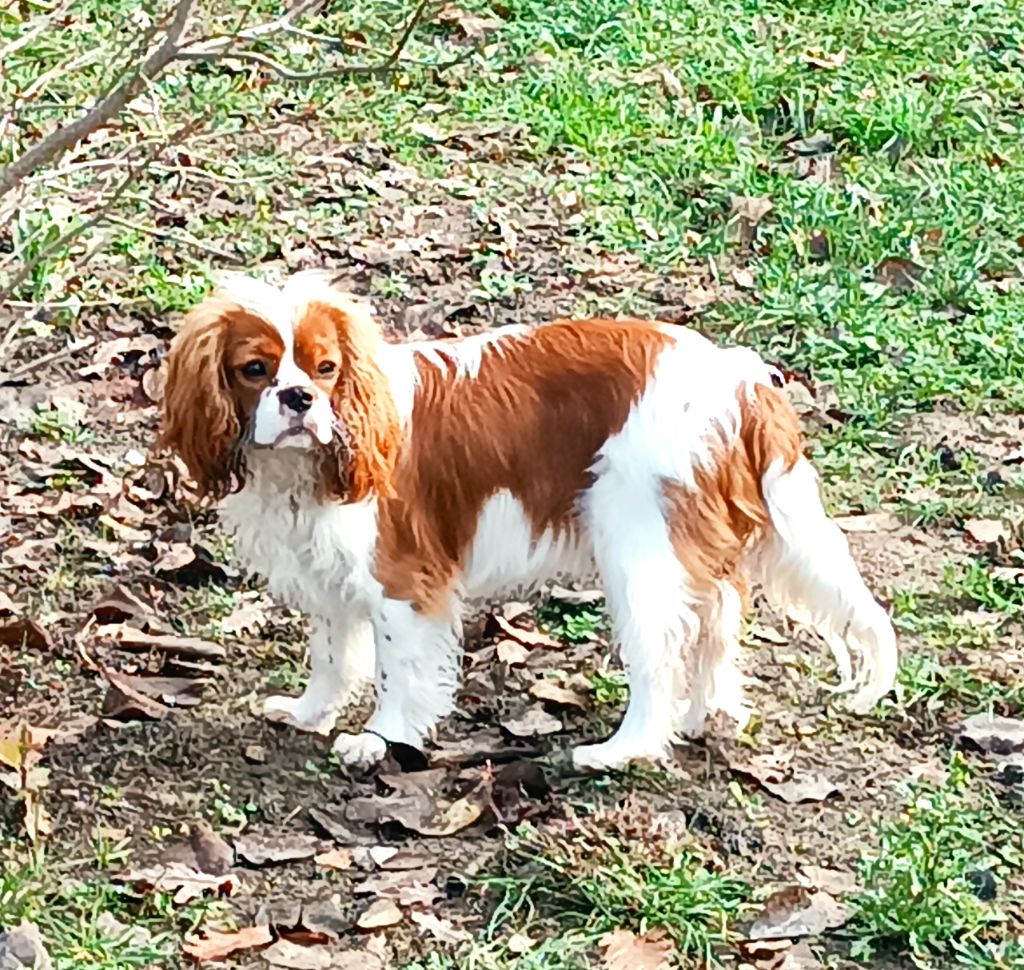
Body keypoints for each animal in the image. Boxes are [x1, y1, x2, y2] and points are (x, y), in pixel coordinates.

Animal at [159, 268, 897, 770]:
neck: (303, 468)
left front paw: (381, 739)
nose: (300, 398)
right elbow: (335, 658)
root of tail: (739, 378)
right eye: (255, 369)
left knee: (660, 653)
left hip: (638, 550)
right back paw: (702, 718)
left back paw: (623, 749)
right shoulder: (331, 576)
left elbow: (399, 670)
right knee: (715, 623)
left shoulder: (403, 581)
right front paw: (309, 713)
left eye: (326, 368)